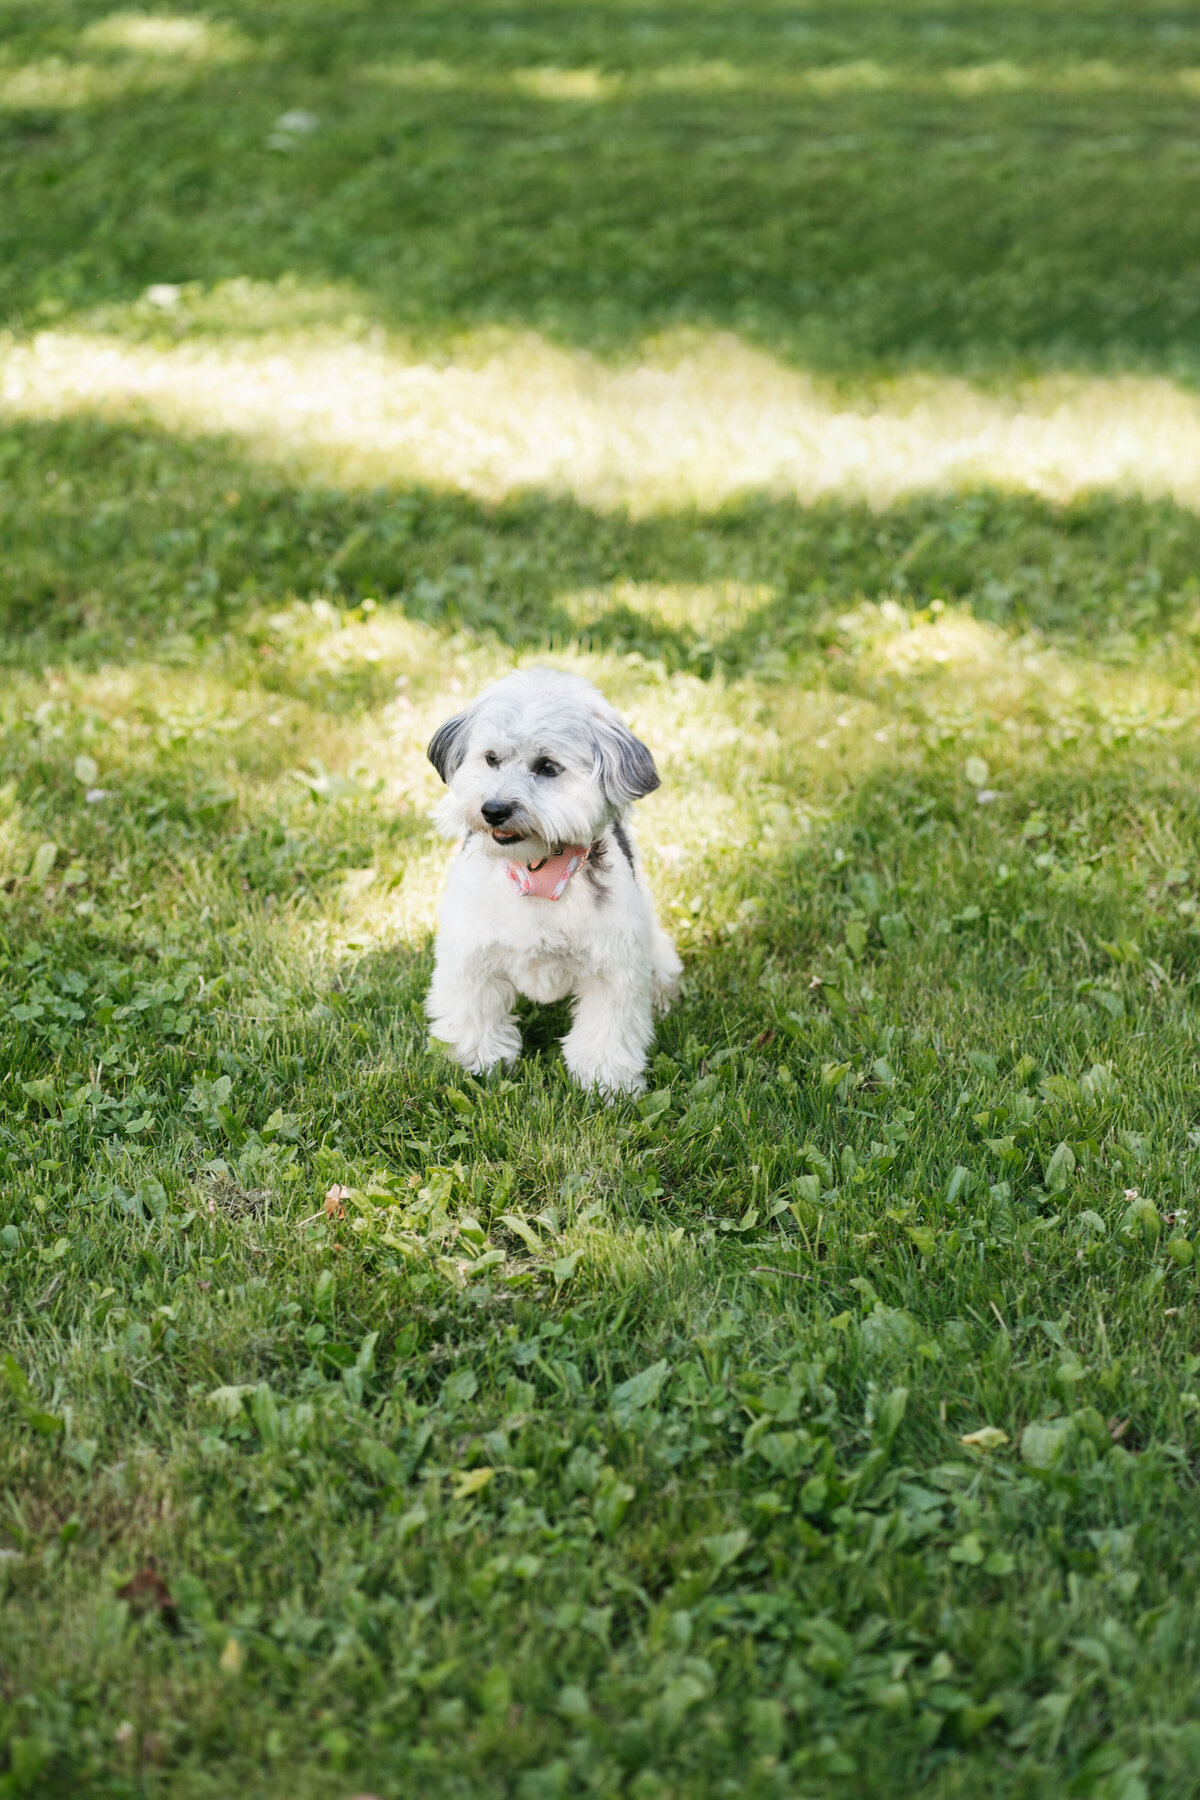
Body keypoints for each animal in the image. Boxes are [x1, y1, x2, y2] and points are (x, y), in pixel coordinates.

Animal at [426, 669, 680, 1087]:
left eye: (547, 766)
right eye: (491, 759)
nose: (493, 809)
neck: (539, 872)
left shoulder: (613, 965)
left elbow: (607, 1028)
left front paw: (606, 1080)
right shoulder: (471, 955)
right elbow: (475, 1010)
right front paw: (478, 1060)